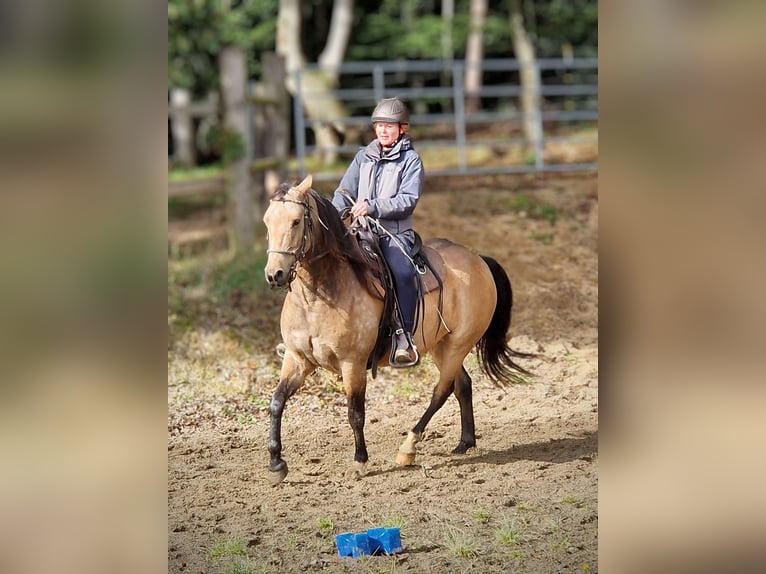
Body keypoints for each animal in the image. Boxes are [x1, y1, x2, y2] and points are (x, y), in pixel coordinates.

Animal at [263, 175, 533, 485]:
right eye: (267, 221)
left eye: (296, 221)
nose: (274, 274)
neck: (319, 295)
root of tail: (479, 259)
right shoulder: (297, 359)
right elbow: (276, 402)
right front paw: (276, 464)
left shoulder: (352, 364)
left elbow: (355, 413)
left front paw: (359, 462)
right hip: (441, 346)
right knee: (462, 385)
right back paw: (465, 442)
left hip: (458, 344)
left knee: (441, 391)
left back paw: (408, 448)